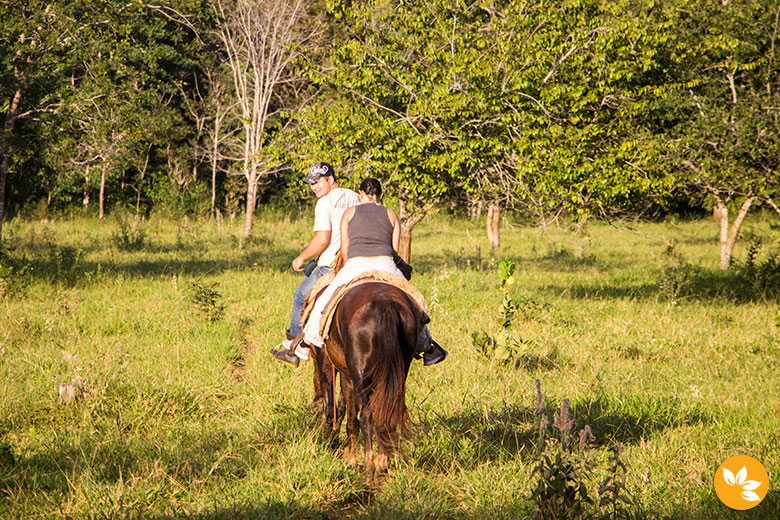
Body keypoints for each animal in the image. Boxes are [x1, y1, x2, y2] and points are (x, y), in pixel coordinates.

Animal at [310, 282, 420, 478]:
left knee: (366, 416)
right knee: (387, 412)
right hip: (398, 372)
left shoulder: (340, 373)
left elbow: (341, 412)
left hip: (360, 375)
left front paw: (347, 456)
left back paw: (368, 466)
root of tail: (384, 304)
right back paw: (382, 461)